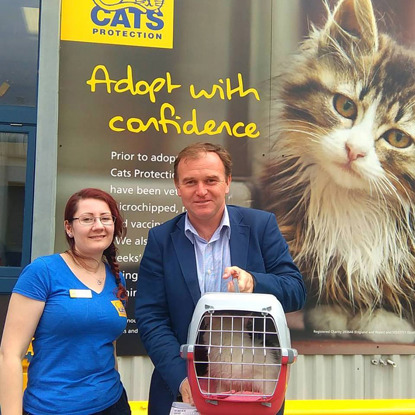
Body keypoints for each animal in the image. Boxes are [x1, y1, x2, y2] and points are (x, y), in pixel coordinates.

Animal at [260, 0, 415, 344]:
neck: (354, 202)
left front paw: (387, 320)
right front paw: (331, 312)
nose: (354, 150)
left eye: (399, 139)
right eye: (345, 107)